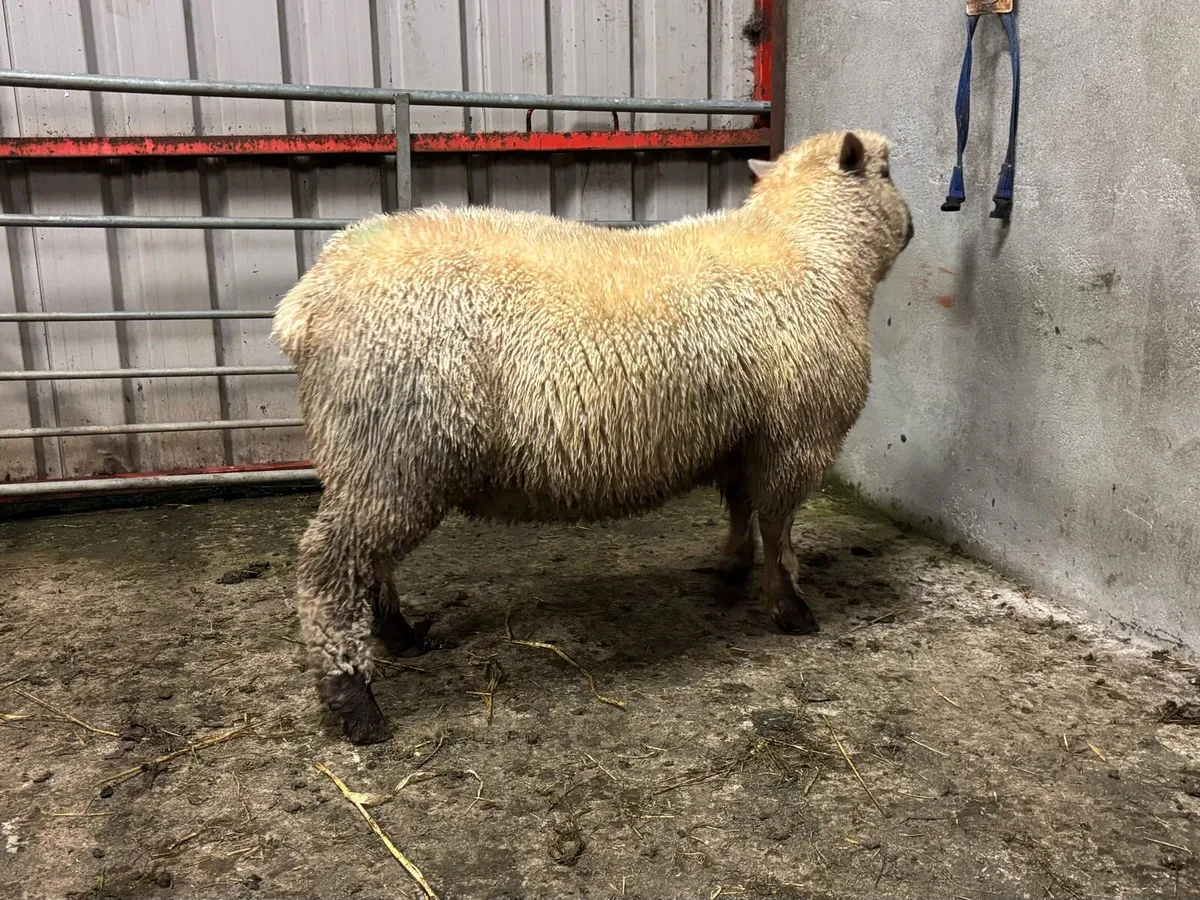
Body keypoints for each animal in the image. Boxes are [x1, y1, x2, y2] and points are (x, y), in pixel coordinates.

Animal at [273, 129, 914, 744]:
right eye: (887, 171)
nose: (912, 226)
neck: (811, 248)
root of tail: (306, 302)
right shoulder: (797, 437)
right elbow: (778, 528)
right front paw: (791, 610)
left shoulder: (741, 436)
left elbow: (741, 509)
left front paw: (732, 571)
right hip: (395, 446)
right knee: (329, 569)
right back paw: (355, 700)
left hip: (376, 459)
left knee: (368, 564)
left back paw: (401, 637)